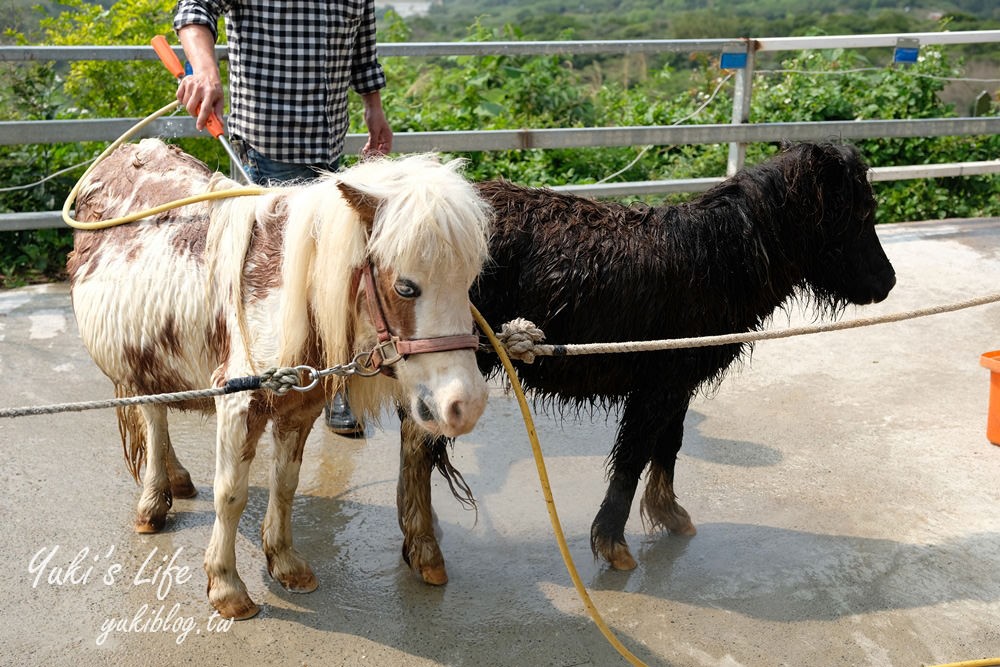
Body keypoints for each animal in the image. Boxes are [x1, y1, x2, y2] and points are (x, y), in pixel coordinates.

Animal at [64, 140, 494, 620]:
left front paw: (286, 563)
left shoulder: (299, 410)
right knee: (154, 419)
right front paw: (227, 587)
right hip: (135, 360)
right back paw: (153, 504)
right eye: (404, 287)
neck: (287, 296)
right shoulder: (238, 404)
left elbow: (285, 484)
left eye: (470, 281)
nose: (464, 405)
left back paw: (177, 479)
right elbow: (231, 495)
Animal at [394, 142, 896, 584]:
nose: (888, 282)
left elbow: (668, 445)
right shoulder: (657, 386)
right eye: (858, 214)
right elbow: (634, 455)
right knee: (420, 442)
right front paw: (613, 544)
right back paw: (425, 552)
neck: (717, 260)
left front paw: (669, 514)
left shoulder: (676, 381)